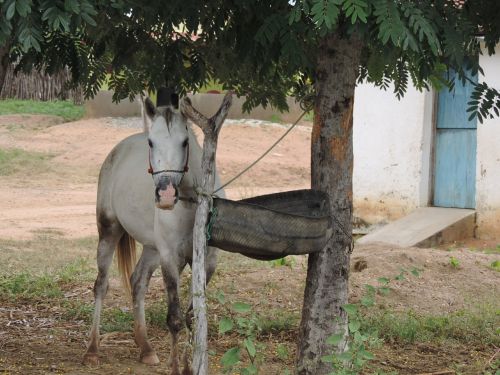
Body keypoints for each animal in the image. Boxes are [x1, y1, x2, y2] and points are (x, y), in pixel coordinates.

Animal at [83, 95, 224, 374]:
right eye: (151, 142)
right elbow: (175, 318)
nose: (166, 195)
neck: (192, 204)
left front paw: (189, 365)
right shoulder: (170, 258)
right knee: (101, 285)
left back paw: (146, 348)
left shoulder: (207, 261)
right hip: (109, 232)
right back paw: (92, 350)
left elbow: (193, 316)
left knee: (138, 283)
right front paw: (176, 367)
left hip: (152, 249)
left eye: (184, 141)